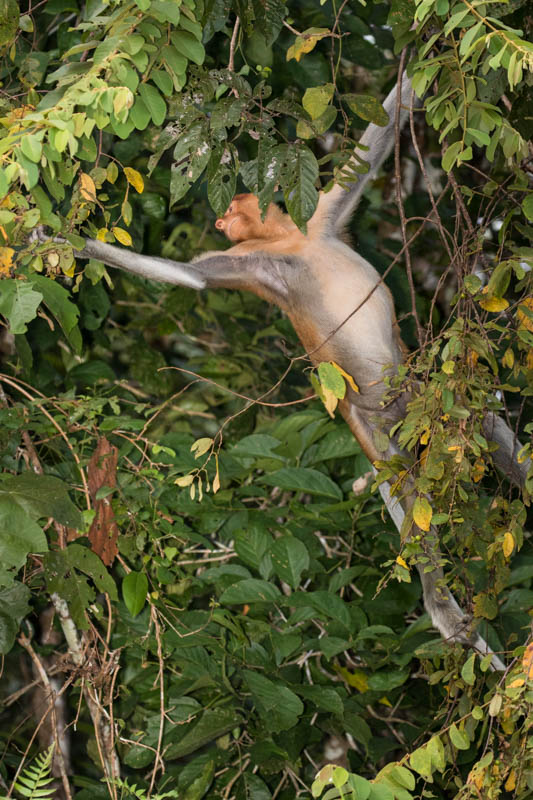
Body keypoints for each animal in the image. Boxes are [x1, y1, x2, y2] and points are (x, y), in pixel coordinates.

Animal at [61, 75, 528, 664]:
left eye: (233, 208)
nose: (221, 220)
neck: (293, 242)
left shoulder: (320, 219)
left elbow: (379, 136)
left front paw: (423, 67)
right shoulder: (257, 265)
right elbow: (193, 277)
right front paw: (55, 240)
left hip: (427, 397)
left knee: (487, 429)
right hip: (379, 424)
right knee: (409, 491)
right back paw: (445, 614)